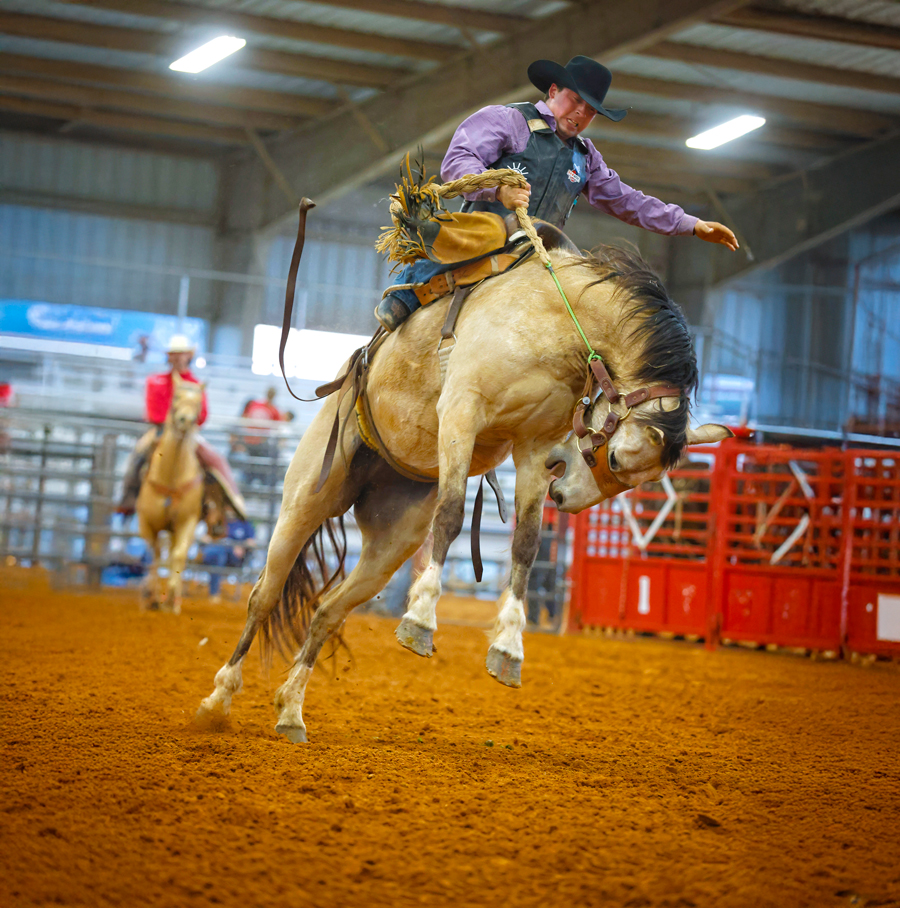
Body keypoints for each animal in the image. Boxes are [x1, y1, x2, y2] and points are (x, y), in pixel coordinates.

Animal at [136, 373, 206, 614]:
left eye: (199, 402)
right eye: (176, 397)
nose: (186, 420)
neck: (172, 475)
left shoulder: (187, 522)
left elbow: (178, 555)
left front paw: (173, 599)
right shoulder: (147, 524)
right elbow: (155, 555)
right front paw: (151, 596)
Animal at [197, 245, 730, 742]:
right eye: (617, 461)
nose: (566, 499)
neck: (553, 319)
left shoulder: (534, 448)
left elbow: (526, 545)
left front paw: (508, 647)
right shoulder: (460, 412)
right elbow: (452, 514)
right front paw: (421, 619)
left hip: (390, 546)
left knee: (328, 611)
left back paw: (290, 710)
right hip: (306, 499)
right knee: (263, 597)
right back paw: (218, 699)